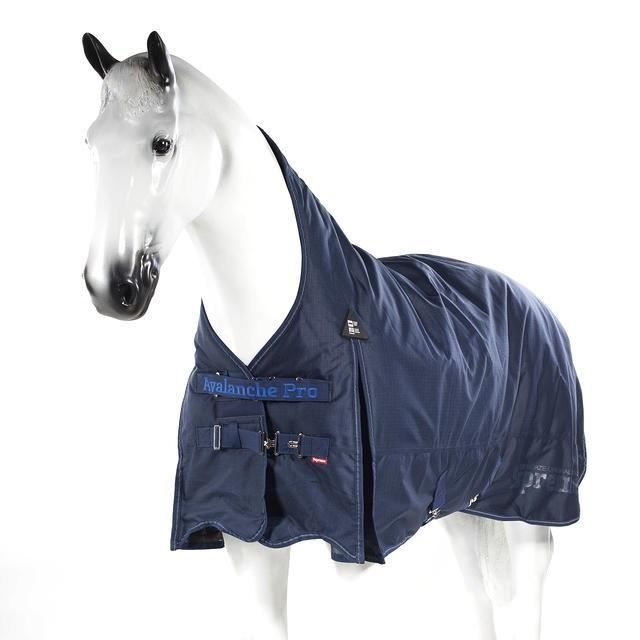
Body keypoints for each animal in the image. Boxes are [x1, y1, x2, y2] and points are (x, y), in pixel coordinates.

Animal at [82, 31, 584, 640]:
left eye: (161, 144)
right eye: (91, 144)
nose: (112, 287)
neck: (262, 349)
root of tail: (538, 307)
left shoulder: (355, 549)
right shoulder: (246, 538)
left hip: (529, 509)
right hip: (462, 504)